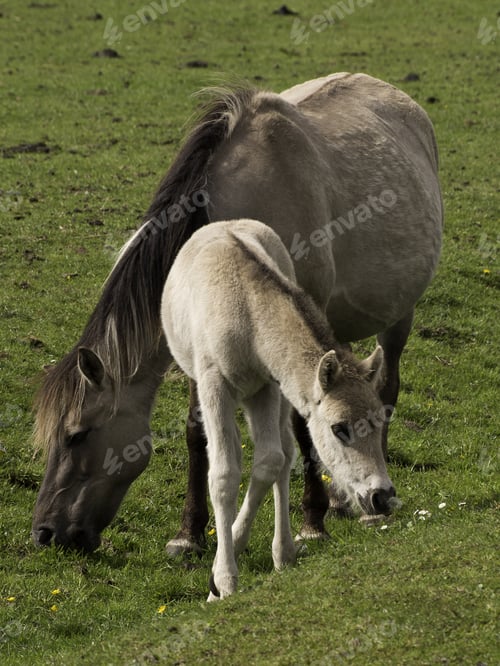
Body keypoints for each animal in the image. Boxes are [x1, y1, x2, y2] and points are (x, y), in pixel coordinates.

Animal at [32, 72, 442, 558]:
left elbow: (303, 423)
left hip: (398, 318)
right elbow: (198, 433)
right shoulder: (202, 341)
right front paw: (188, 534)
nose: (45, 532)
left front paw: (311, 522)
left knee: (387, 387)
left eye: (76, 434)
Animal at [161, 218, 398, 599]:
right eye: (340, 428)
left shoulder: (268, 386)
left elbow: (271, 460)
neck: (246, 310)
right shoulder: (214, 384)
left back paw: (283, 551)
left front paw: (230, 555)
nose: (381, 497)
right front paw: (223, 580)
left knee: (284, 452)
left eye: (380, 421)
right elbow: (224, 474)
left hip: (278, 394)